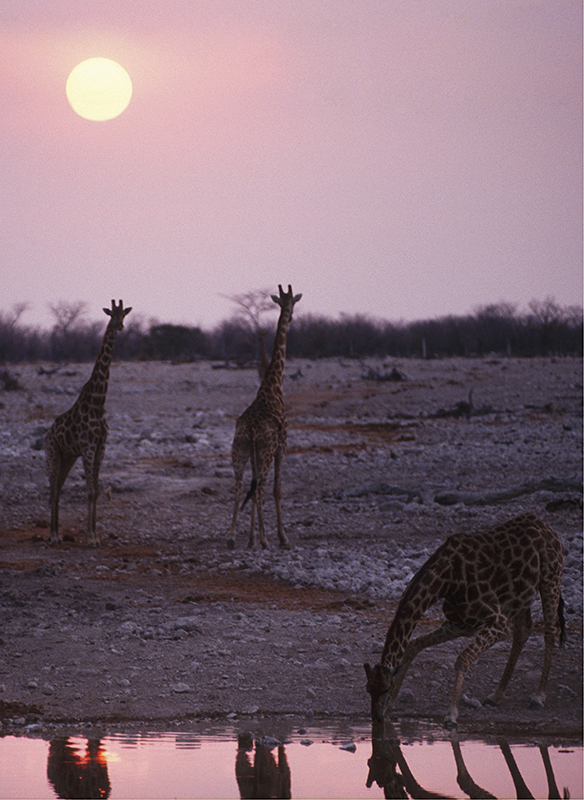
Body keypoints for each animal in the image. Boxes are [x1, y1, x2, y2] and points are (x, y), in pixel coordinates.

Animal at [44, 296, 131, 548]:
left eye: (124, 314)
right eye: (111, 314)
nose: (120, 326)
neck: (98, 403)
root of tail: (47, 434)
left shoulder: (100, 447)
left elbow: (97, 491)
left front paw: (96, 536)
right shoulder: (88, 447)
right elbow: (90, 491)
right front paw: (91, 538)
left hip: (68, 456)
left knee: (59, 488)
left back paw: (57, 533)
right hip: (53, 453)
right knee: (52, 489)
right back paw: (53, 535)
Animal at [227, 282, 304, 552]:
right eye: (291, 303)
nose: (291, 317)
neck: (273, 387)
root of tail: (249, 430)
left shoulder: (255, 452)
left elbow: (251, 488)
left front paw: (250, 538)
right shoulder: (282, 446)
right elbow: (277, 490)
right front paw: (281, 537)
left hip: (240, 450)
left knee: (239, 487)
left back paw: (232, 538)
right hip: (266, 451)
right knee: (259, 489)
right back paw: (265, 539)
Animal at [364, 516, 564, 728]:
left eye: (385, 688)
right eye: (368, 689)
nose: (376, 717)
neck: (445, 580)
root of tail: (547, 528)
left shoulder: (498, 622)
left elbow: (462, 659)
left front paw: (451, 715)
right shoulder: (461, 624)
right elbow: (413, 645)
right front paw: (391, 707)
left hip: (551, 578)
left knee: (551, 630)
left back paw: (538, 697)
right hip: (520, 596)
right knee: (523, 631)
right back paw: (496, 695)